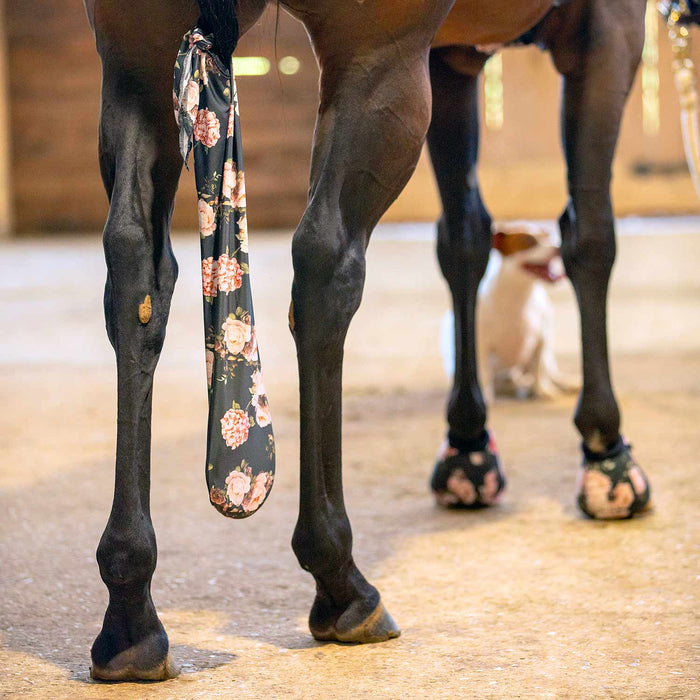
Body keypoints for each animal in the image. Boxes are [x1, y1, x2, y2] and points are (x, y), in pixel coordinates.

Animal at [83, 0, 651, 681]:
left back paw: (130, 611)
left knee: (135, 271)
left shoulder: (454, 59)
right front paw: (608, 456)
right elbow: (591, 238)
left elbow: (464, 236)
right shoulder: (608, 29)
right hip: (377, 60)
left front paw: (468, 448)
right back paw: (342, 582)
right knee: (325, 262)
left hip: (136, 58)